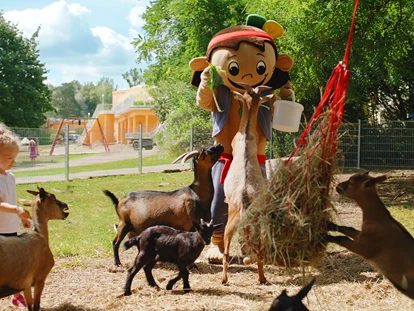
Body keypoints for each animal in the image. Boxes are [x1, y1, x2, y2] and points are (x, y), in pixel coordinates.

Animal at [222, 84, 274, 286]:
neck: (246, 134)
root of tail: (244, 193)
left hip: (232, 218)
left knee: (227, 247)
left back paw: (225, 279)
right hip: (256, 219)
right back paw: (262, 277)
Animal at [326, 172, 414, 302]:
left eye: (351, 183)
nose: (338, 186)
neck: (378, 219)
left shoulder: (366, 247)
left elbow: (342, 238)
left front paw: (323, 237)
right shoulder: (362, 235)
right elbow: (349, 229)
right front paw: (329, 225)